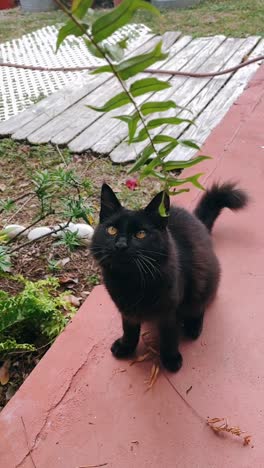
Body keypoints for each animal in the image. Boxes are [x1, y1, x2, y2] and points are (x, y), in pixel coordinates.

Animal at [91, 181, 248, 372]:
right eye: (112, 230)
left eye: (141, 234)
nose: (120, 245)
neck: (131, 280)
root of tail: (198, 222)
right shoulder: (126, 310)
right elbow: (129, 329)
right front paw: (126, 346)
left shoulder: (170, 310)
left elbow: (169, 336)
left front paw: (171, 358)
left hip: (202, 281)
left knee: (200, 306)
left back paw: (193, 327)